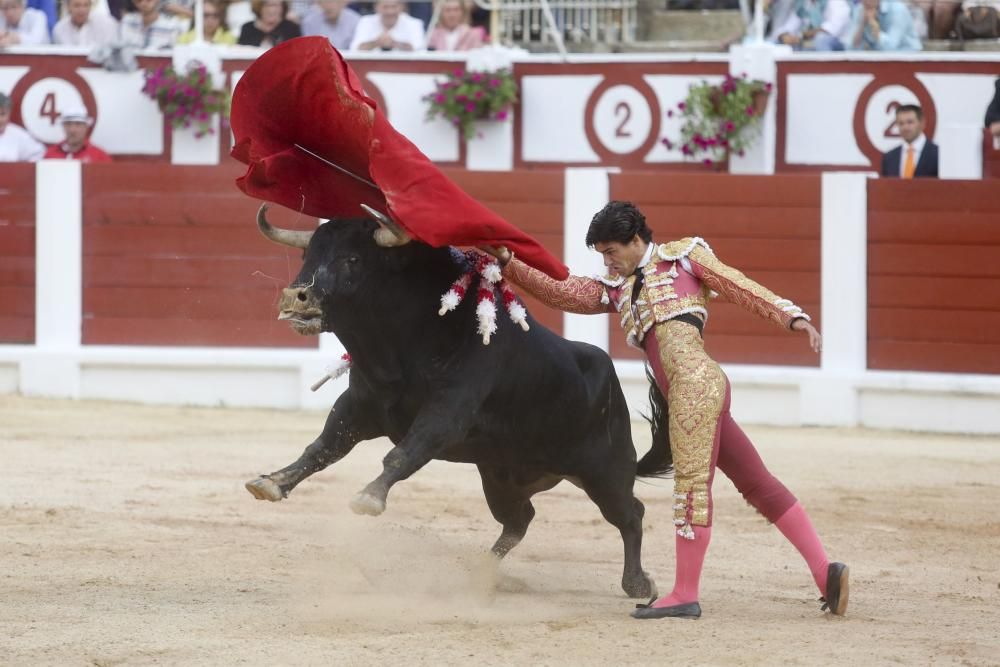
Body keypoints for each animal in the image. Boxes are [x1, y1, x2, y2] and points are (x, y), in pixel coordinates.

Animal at [247, 209, 672, 600]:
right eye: (308, 255)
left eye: (352, 258)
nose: (296, 295)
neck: (401, 344)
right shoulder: (359, 406)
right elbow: (322, 447)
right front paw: (272, 482)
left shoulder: (447, 411)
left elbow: (402, 454)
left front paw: (369, 497)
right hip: (501, 477)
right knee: (519, 520)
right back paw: (479, 574)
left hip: (605, 471)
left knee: (630, 515)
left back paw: (638, 584)